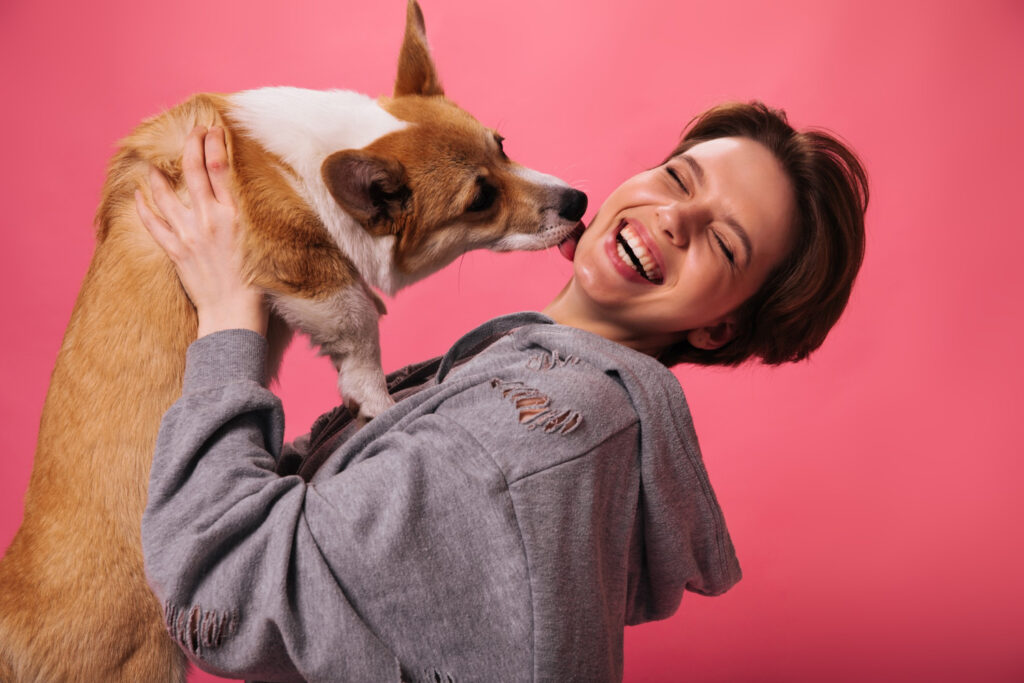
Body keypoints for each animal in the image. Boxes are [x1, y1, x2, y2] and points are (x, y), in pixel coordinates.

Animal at [0, 2, 589, 679]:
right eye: (480, 199)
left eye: (503, 146)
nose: (579, 200)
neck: (312, 160)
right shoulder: (299, 265)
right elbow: (359, 318)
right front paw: (377, 400)